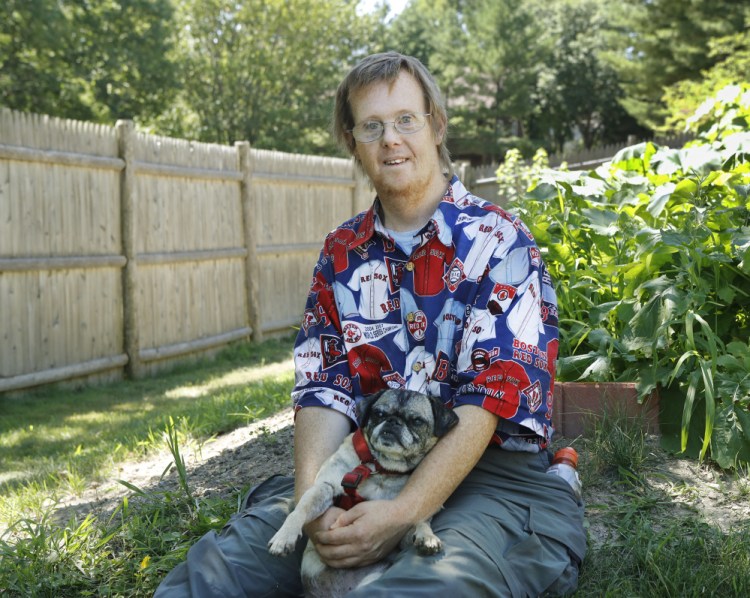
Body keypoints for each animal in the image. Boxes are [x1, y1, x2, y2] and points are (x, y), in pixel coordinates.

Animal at [268, 392, 462, 596]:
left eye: (416, 421)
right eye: (379, 413)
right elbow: (300, 511)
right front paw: (284, 536)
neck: (380, 468)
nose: (393, 421)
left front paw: (427, 536)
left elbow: (420, 520)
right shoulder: (325, 487)